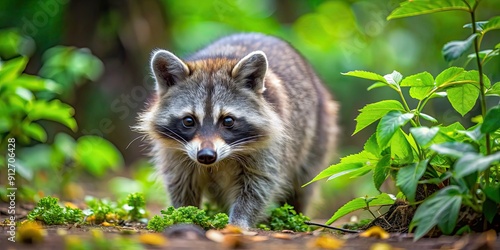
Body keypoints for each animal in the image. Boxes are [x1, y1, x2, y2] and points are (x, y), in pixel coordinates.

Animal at [139, 33, 338, 229]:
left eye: (228, 121)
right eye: (189, 121)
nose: (206, 156)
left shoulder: (271, 145)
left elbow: (258, 185)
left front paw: (239, 220)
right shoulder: (174, 150)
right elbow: (180, 183)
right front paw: (184, 212)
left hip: (319, 134)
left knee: (303, 184)